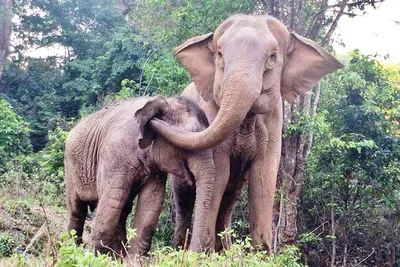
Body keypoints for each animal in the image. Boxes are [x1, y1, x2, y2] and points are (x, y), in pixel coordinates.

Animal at [65, 97, 216, 258]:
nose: (189, 254)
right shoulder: (113, 154)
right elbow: (112, 199)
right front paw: (98, 258)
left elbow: (151, 203)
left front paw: (131, 259)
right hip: (70, 168)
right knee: (77, 211)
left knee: (123, 210)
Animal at [148, 14, 342, 253]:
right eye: (220, 54)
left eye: (272, 57)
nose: (153, 115)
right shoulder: (210, 114)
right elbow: (219, 173)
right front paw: (204, 254)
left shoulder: (275, 121)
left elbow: (264, 178)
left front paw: (261, 254)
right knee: (184, 197)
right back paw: (181, 249)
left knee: (230, 199)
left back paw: (225, 249)